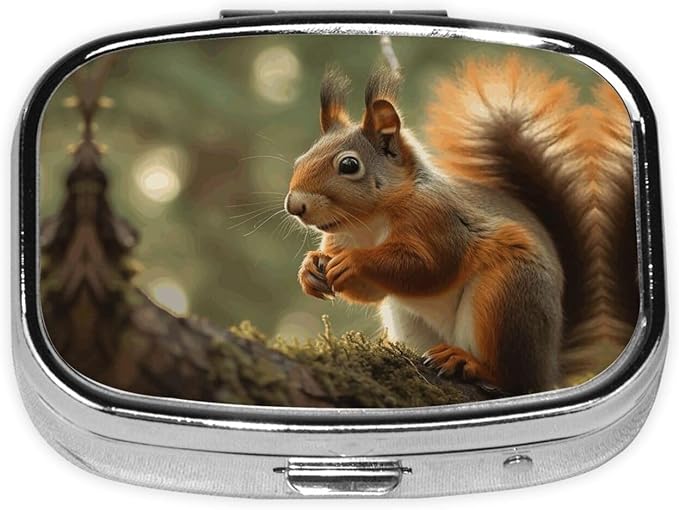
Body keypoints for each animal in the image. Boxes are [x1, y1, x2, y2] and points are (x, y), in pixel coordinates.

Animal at [284, 55, 637, 395]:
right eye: (300, 160)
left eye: (349, 165)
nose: (294, 206)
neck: (368, 225)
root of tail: (548, 366)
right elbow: (372, 291)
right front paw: (311, 269)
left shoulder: (440, 221)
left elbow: (429, 267)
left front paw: (354, 262)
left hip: (505, 296)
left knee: (512, 378)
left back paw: (469, 363)